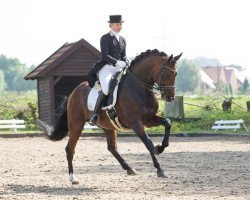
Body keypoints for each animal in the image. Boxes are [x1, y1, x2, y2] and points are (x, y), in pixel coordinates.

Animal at [40, 49, 182, 184]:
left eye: (176, 74)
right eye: (167, 74)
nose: (170, 97)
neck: (139, 87)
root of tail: (73, 92)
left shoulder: (148, 119)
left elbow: (168, 122)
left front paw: (161, 147)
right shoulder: (135, 123)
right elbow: (148, 142)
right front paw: (159, 168)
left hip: (107, 126)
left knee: (112, 148)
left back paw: (129, 169)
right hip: (76, 125)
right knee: (70, 149)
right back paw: (73, 178)